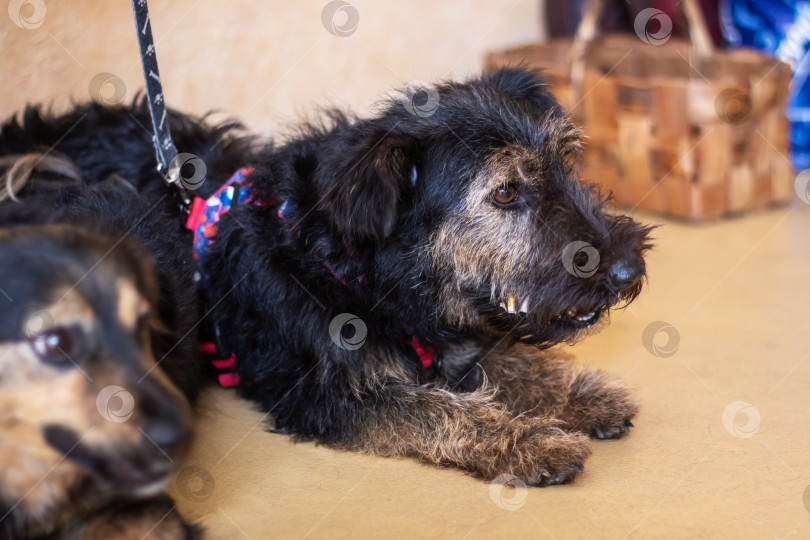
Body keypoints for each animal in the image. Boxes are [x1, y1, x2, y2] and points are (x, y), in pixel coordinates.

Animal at [1, 67, 652, 490]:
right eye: (506, 192)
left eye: (565, 164)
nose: (629, 270)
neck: (356, 274)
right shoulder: (324, 395)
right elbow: (441, 410)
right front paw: (530, 442)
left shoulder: (447, 338)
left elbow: (511, 362)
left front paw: (582, 396)